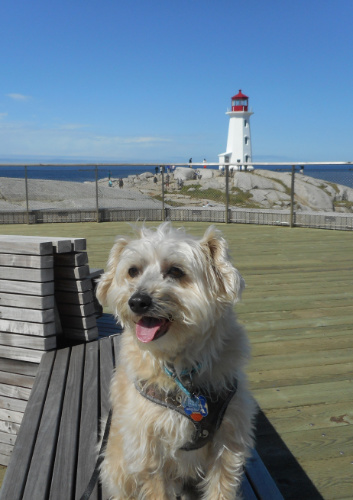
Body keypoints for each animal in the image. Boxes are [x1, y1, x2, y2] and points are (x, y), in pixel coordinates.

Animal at [96, 225, 254, 498]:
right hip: (117, 466)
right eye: (133, 271)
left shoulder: (228, 443)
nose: (137, 301)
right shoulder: (148, 452)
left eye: (176, 271)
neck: (181, 369)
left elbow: (221, 489)